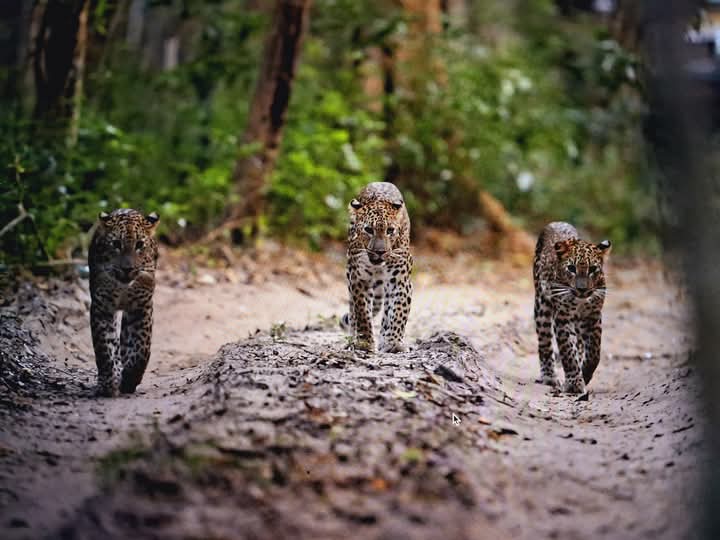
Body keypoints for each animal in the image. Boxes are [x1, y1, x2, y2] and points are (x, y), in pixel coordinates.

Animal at [88, 208, 160, 397]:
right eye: (116, 244)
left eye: (139, 244)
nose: (127, 269)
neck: (123, 288)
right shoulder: (102, 308)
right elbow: (104, 348)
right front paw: (107, 383)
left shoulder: (141, 308)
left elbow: (141, 349)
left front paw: (130, 379)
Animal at [340, 182, 413, 353]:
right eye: (368, 230)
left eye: (390, 230)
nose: (380, 252)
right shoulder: (359, 280)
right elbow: (362, 313)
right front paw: (364, 343)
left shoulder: (401, 281)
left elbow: (398, 311)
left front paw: (394, 342)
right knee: (352, 312)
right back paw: (352, 339)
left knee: (387, 312)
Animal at [533, 221, 611, 394]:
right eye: (571, 268)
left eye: (592, 269)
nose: (582, 289)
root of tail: (557, 222)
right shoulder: (562, 317)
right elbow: (567, 351)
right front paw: (574, 383)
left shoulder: (593, 315)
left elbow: (594, 352)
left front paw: (585, 373)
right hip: (542, 306)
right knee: (545, 343)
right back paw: (549, 377)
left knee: (580, 345)